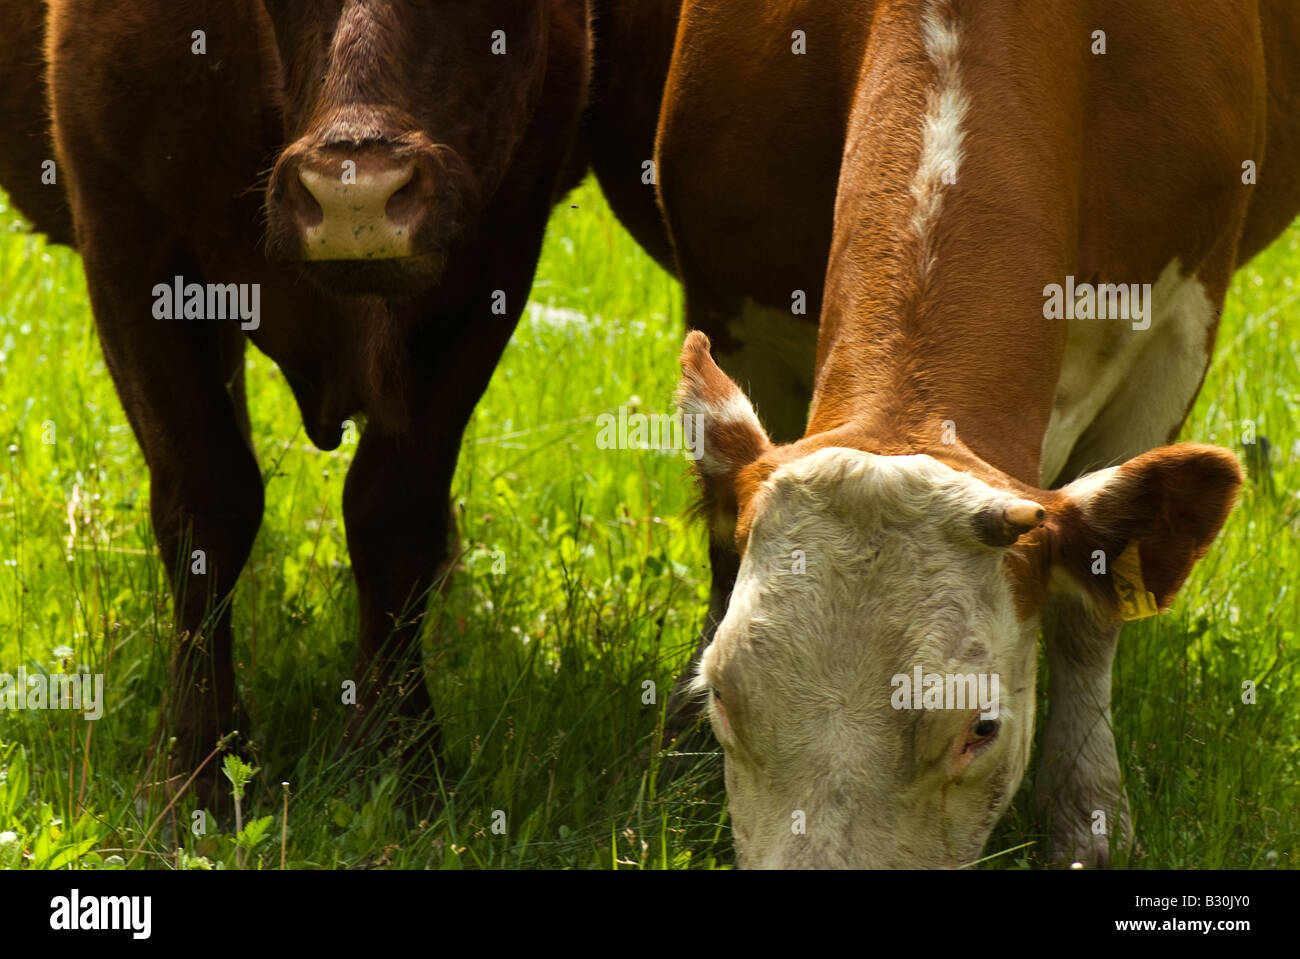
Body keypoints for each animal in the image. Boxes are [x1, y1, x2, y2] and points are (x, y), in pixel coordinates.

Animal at [0, 0, 686, 805]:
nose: (354, 193)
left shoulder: (495, 259)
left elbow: (394, 510)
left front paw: (399, 756)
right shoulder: (130, 244)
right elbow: (207, 502)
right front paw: (197, 769)